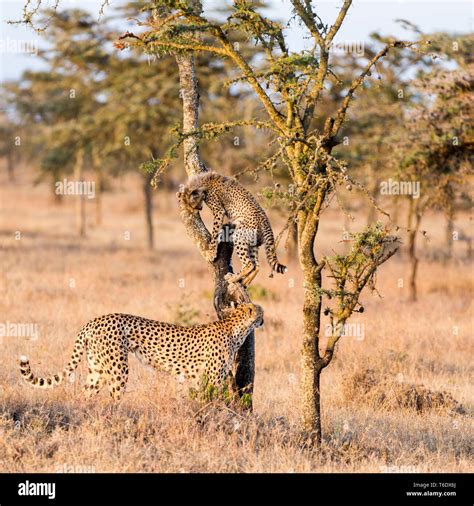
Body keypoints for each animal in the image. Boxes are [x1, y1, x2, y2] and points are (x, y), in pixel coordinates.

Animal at [18, 302, 262, 402]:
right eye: (261, 312)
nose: (263, 320)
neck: (235, 326)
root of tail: (94, 320)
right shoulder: (212, 378)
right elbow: (212, 400)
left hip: (97, 369)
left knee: (85, 395)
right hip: (118, 369)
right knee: (114, 398)